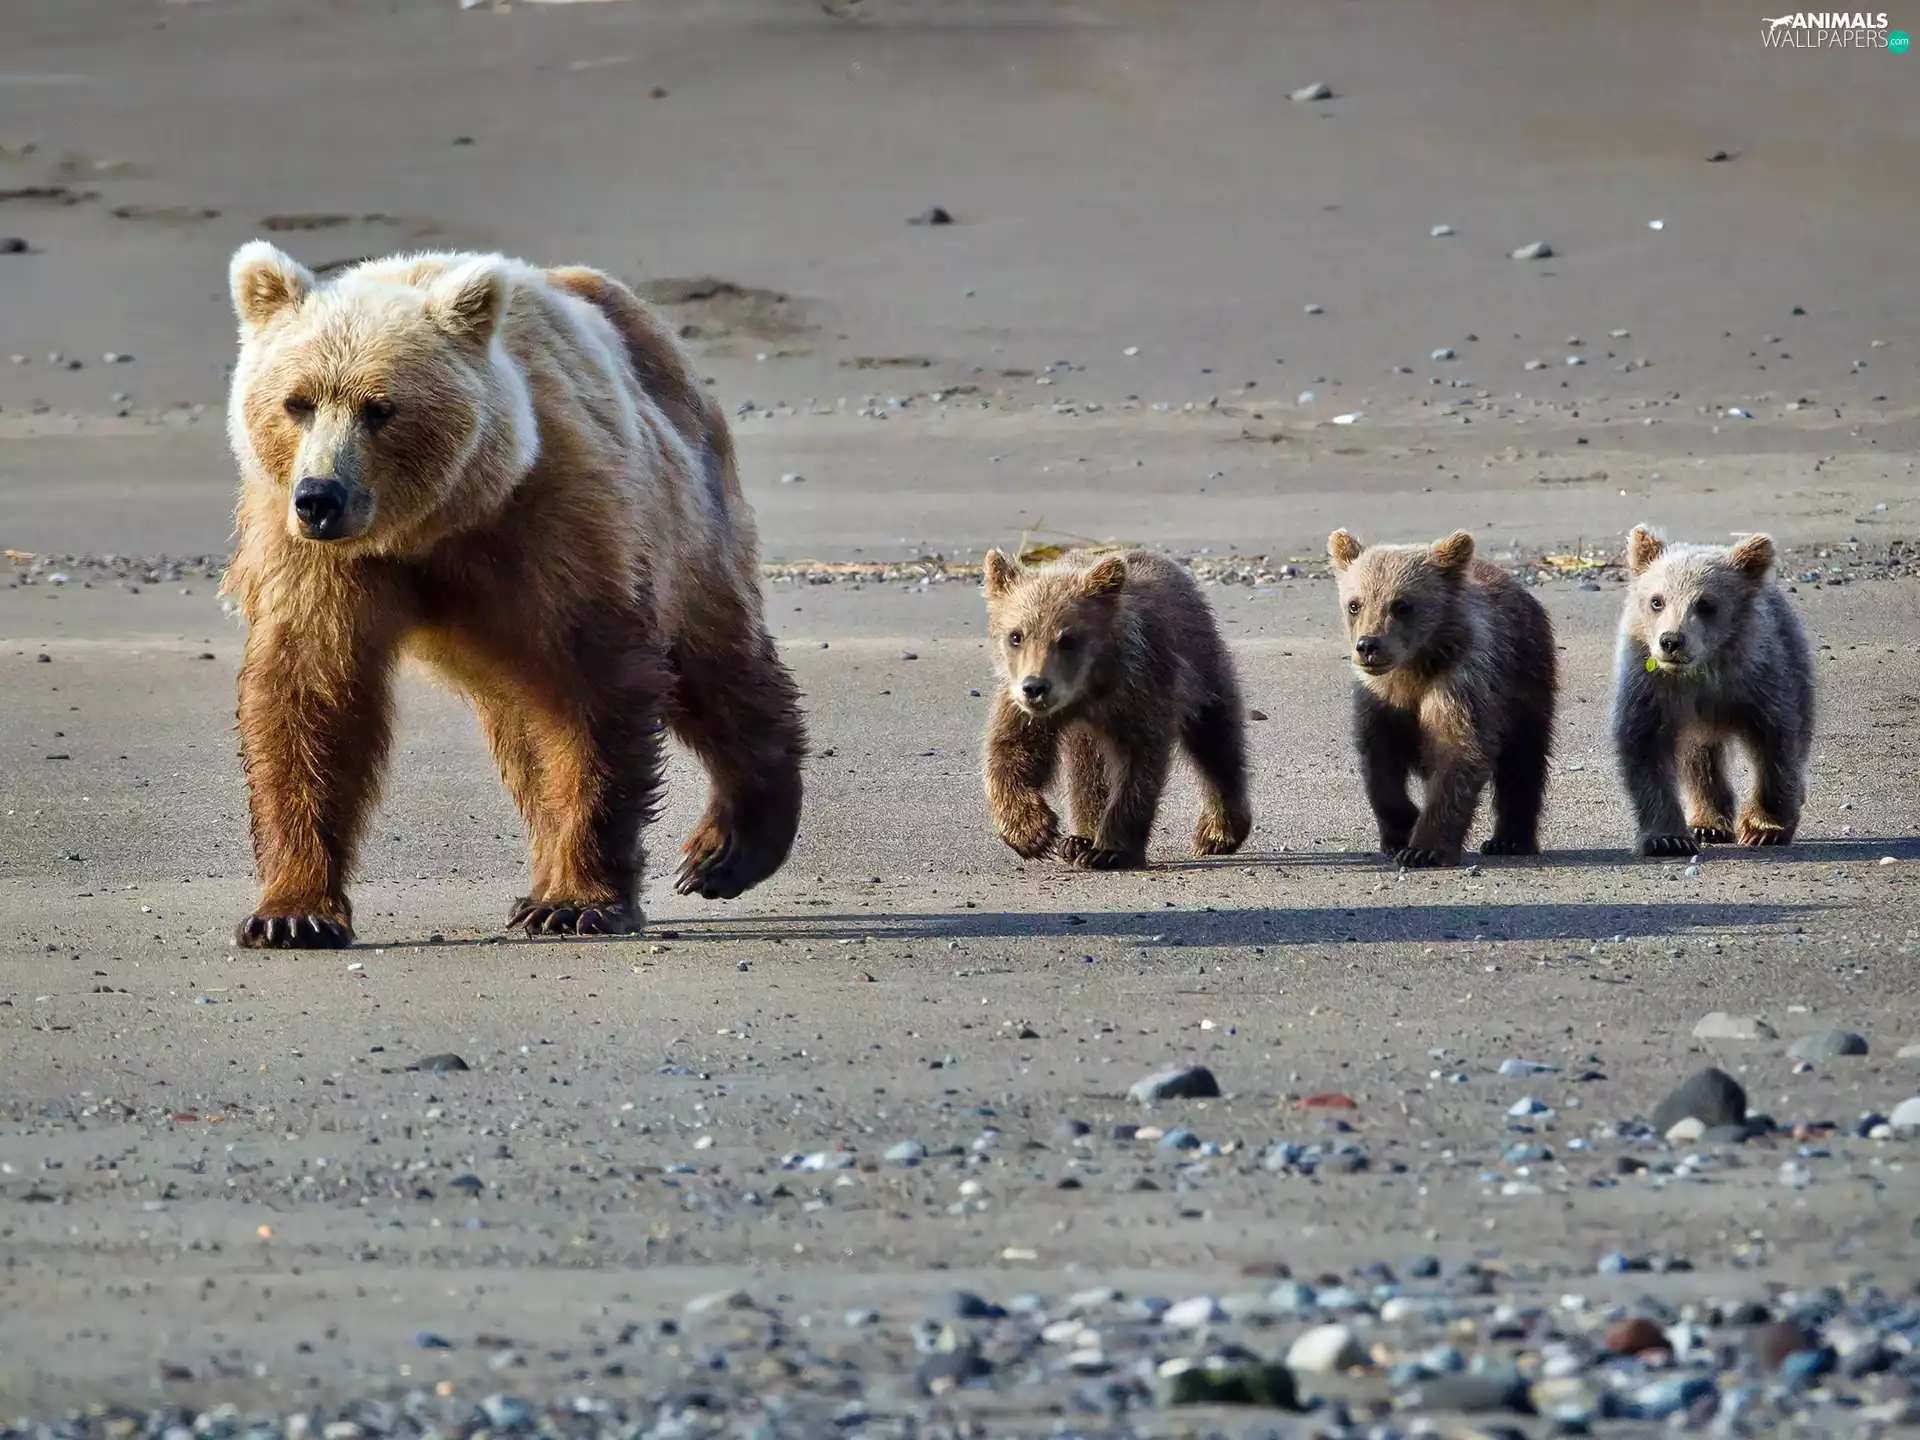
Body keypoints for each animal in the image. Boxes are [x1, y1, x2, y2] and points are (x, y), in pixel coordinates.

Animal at [220, 243, 806, 947]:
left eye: (379, 407)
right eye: (297, 402)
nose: (319, 498)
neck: (433, 524)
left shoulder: (556, 518)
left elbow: (592, 691)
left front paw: (578, 902)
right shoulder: (312, 557)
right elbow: (312, 691)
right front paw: (291, 912)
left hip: (686, 509)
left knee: (713, 664)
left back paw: (725, 848)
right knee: (528, 731)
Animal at [980, 547, 1251, 869]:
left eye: (1068, 639)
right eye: (1016, 636)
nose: (1035, 687)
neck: (1087, 690)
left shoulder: (1140, 691)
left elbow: (1137, 768)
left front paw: (1110, 850)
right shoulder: (1022, 706)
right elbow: (1013, 751)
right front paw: (1031, 832)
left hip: (1200, 667)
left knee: (1216, 741)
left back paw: (1218, 832)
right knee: (1088, 767)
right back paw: (1079, 839)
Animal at [1327, 528, 1557, 867]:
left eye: (1401, 604)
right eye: (1355, 604)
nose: (1369, 645)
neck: (1411, 671)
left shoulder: (1460, 684)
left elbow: (1458, 752)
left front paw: (1423, 848)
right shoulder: (1379, 700)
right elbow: (1379, 763)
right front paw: (1400, 830)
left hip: (1526, 680)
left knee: (1523, 761)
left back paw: (1510, 840)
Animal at [1611, 525, 1814, 855]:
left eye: (1705, 603)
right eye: (1657, 600)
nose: (1671, 641)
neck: (1702, 673)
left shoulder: (1759, 682)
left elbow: (1776, 745)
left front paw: (1762, 829)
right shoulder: (1650, 688)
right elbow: (1644, 747)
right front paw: (1666, 838)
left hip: (1795, 662)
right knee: (1699, 760)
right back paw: (1708, 824)